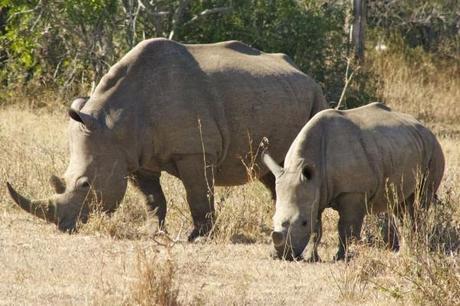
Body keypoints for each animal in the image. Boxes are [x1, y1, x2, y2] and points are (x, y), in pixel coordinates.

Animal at [8, 37, 330, 239]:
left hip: (316, 96)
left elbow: (198, 194)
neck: (114, 122)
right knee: (272, 172)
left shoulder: (195, 151)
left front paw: (198, 237)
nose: (63, 226)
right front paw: (152, 232)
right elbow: (152, 198)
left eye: (86, 184)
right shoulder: (132, 156)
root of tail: (303, 73)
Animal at [264, 103, 444, 260]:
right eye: (273, 219)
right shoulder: (315, 190)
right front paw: (311, 258)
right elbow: (316, 228)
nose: (281, 255)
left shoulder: (353, 191)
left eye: (303, 223)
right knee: (401, 206)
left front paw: (340, 257)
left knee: (418, 203)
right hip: (403, 145)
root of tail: (426, 129)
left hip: (434, 150)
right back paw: (404, 251)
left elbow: (346, 227)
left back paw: (414, 250)